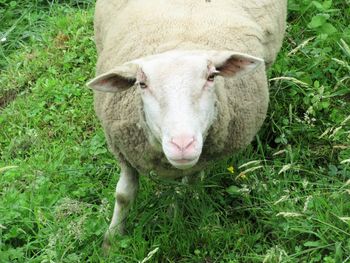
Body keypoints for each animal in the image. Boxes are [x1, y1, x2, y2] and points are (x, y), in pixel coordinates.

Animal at [86, 0, 286, 250]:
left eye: (211, 77)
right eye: (142, 84)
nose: (183, 145)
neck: (176, 42)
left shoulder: (200, 160)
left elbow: (184, 190)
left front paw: (173, 218)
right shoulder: (122, 150)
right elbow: (124, 194)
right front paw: (111, 241)